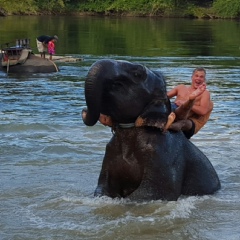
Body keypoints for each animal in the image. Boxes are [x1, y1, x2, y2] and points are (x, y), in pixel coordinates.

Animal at [81, 59, 220, 201]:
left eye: (137, 73)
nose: (84, 110)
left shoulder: (164, 155)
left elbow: (154, 192)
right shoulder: (110, 151)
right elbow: (103, 188)